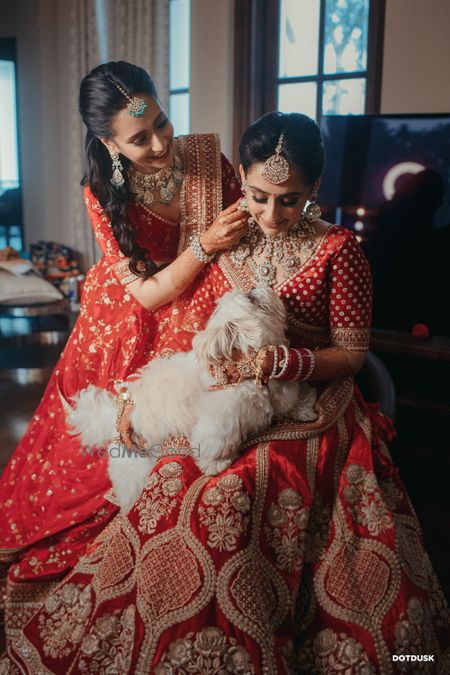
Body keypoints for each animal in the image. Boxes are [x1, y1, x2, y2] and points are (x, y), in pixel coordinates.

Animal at [69, 286, 316, 512]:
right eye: (250, 299)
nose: (256, 286)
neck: (243, 367)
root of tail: (112, 419)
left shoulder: (281, 392)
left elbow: (292, 402)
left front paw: (306, 410)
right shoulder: (220, 417)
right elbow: (215, 440)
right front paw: (216, 464)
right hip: (134, 464)